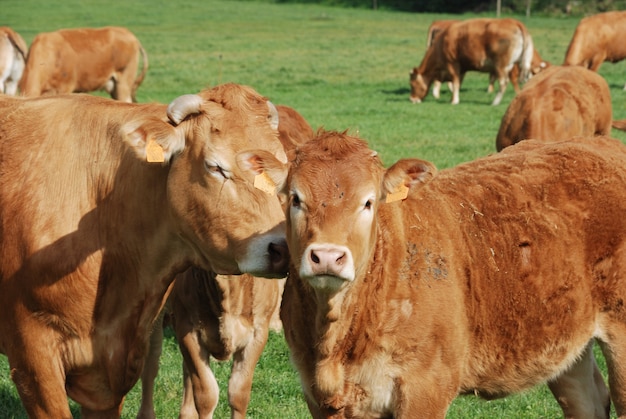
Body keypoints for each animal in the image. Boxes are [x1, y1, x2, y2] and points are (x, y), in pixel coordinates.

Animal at [136, 104, 312, 419]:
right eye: (215, 169)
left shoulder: (256, 333)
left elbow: (237, 393)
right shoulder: (187, 327)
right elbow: (207, 395)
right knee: (152, 363)